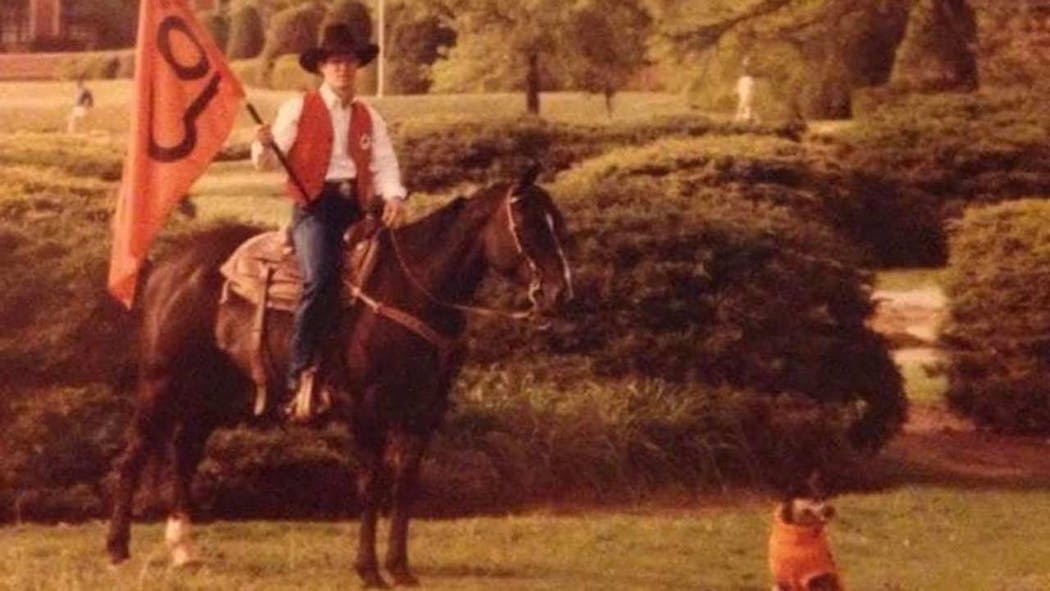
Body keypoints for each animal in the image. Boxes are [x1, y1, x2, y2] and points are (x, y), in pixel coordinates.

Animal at [106, 171, 575, 587]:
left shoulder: (422, 414)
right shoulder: (365, 411)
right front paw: (368, 570)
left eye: (557, 221)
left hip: (209, 394)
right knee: (134, 453)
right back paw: (117, 549)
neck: (409, 292)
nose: (559, 294)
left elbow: (404, 486)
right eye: (528, 225)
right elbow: (371, 485)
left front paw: (400, 568)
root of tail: (165, 265)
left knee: (184, 454)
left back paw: (184, 550)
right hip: (161, 382)